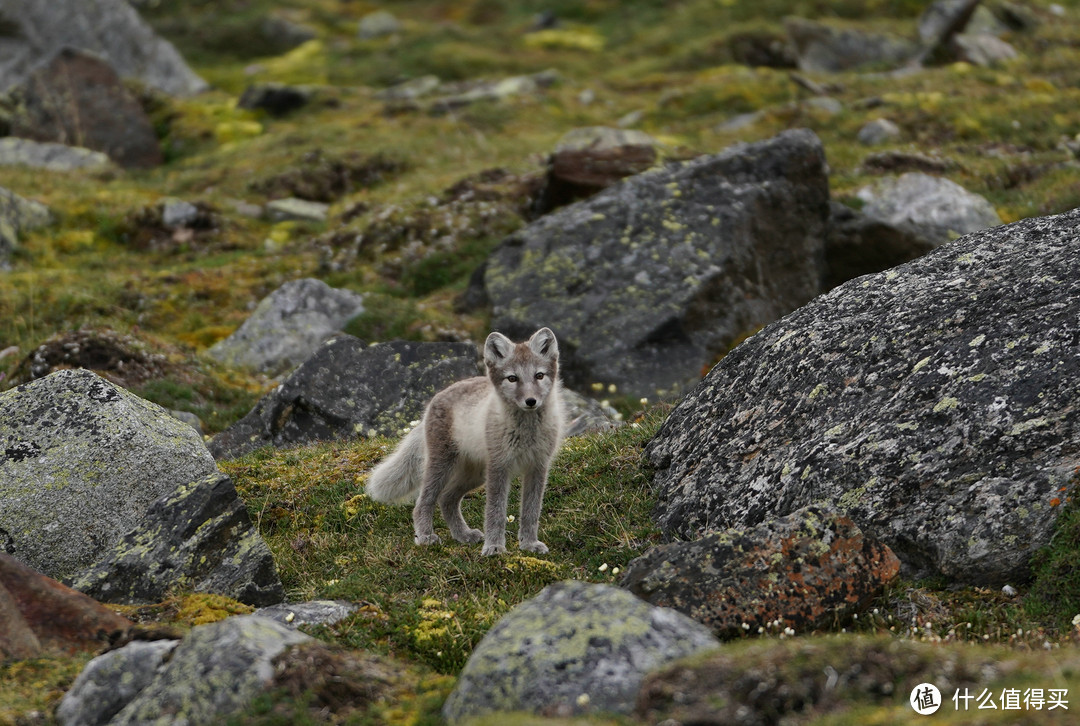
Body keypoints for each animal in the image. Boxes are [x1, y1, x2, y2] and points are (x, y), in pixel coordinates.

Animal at [365, 328, 565, 557]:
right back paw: (425, 537)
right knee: (423, 502)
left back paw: (463, 535)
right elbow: (495, 511)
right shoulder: (499, 466)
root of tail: (435, 399)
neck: (527, 432)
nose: (531, 401)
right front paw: (494, 547)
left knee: (446, 499)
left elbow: (531, 511)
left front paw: (529, 544)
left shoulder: (538, 466)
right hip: (442, 466)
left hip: (474, 474)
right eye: (512, 378)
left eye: (539, 375)